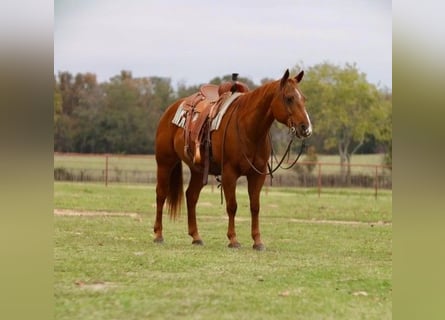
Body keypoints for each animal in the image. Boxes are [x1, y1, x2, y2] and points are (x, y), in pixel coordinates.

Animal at [154, 69, 310, 250]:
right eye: (289, 98)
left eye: (303, 98)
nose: (306, 128)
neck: (248, 129)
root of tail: (170, 109)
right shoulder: (229, 173)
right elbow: (232, 206)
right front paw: (233, 239)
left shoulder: (257, 175)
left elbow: (255, 206)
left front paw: (258, 241)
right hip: (165, 163)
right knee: (161, 194)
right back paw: (158, 234)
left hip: (198, 171)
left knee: (191, 196)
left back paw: (196, 237)